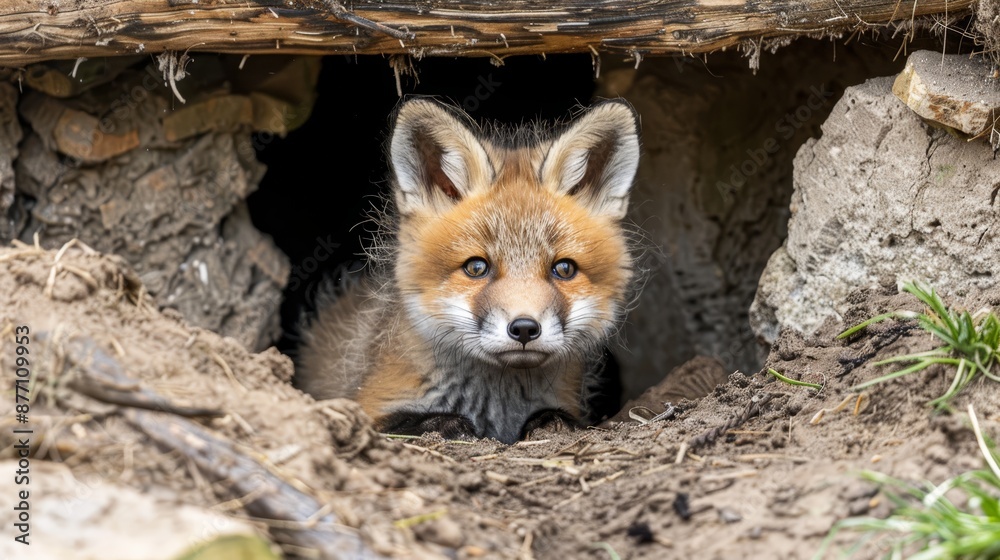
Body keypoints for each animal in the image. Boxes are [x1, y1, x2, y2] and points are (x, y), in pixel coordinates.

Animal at [295, 98, 641, 444]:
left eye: (564, 269)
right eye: (476, 267)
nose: (524, 328)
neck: (493, 401)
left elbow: (561, 417)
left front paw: (550, 422)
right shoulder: (368, 402)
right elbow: (408, 421)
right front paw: (446, 424)